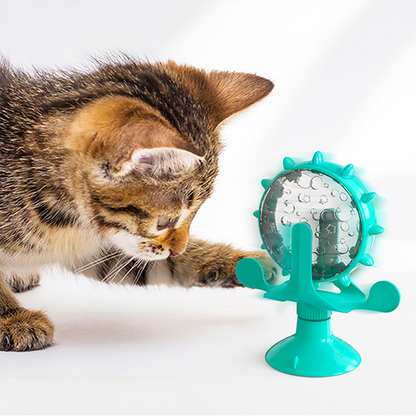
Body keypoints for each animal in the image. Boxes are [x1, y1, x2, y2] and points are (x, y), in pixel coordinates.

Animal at [0, 57, 276, 352]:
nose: (178, 249)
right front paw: (12, 318)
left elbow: (155, 266)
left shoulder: (110, 246)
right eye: (165, 221)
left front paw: (246, 262)